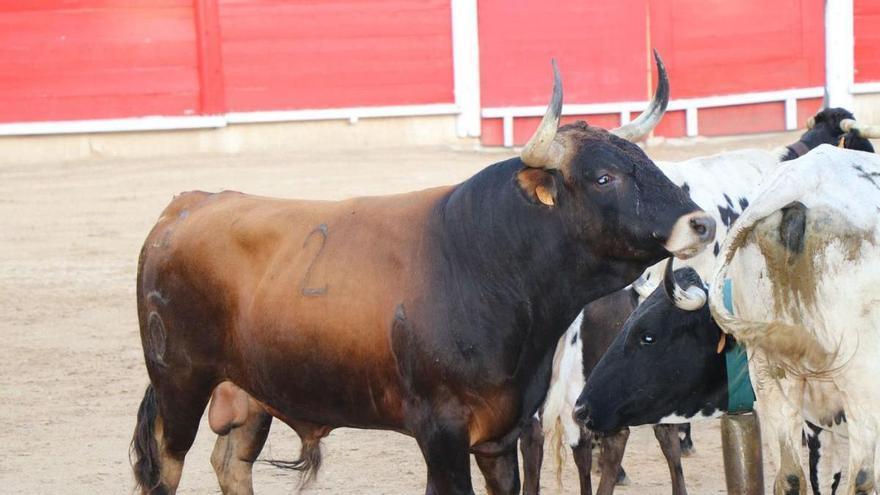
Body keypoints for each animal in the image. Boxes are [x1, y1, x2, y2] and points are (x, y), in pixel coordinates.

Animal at [131, 55, 716, 495]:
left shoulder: (500, 435)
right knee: (164, 467)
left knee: (231, 462)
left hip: (250, 391)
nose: (702, 221)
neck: (489, 264)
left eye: (647, 161)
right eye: (603, 177)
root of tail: (187, 203)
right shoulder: (441, 433)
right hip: (179, 383)